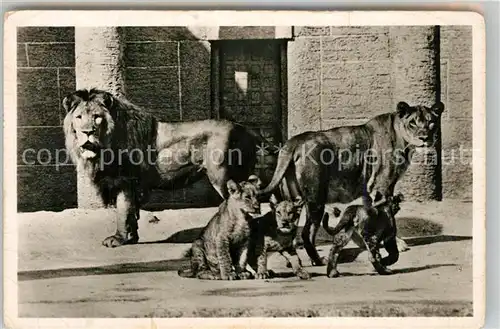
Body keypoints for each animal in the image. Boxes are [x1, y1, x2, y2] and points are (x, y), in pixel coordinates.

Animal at [63, 88, 262, 247]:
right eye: (79, 117)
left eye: (97, 117)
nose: (87, 132)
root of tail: (248, 130)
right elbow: (131, 211)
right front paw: (132, 238)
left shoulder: (125, 180)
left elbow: (122, 210)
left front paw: (119, 239)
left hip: (223, 177)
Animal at [258, 101, 446, 266]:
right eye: (413, 123)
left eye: (431, 122)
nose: (424, 138)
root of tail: (293, 142)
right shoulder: (382, 185)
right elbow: (387, 216)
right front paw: (395, 242)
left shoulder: (369, 188)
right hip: (316, 198)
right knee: (307, 233)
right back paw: (319, 261)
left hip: (293, 200)